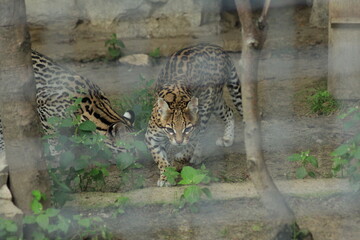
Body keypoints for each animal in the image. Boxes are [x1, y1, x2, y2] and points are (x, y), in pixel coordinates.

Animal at [145, 43, 243, 187]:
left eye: (187, 129)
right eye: (170, 129)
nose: (179, 142)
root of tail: (219, 48)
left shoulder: (195, 129)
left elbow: (190, 145)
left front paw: (182, 156)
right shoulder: (152, 137)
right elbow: (160, 159)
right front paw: (166, 177)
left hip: (208, 103)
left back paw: (199, 154)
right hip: (216, 102)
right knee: (229, 111)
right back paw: (227, 138)